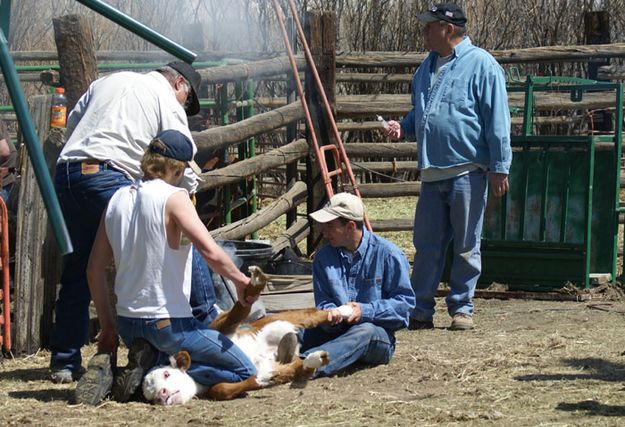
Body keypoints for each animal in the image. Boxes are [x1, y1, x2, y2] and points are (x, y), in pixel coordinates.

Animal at [143, 268, 342, 404]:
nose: (161, 394)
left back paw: (342, 311)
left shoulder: (219, 329)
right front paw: (265, 378)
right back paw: (314, 356)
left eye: (167, 374)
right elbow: (222, 389)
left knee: (309, 314)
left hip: (275, 321)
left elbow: (235, 313)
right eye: (150, 395)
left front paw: (253, 283)